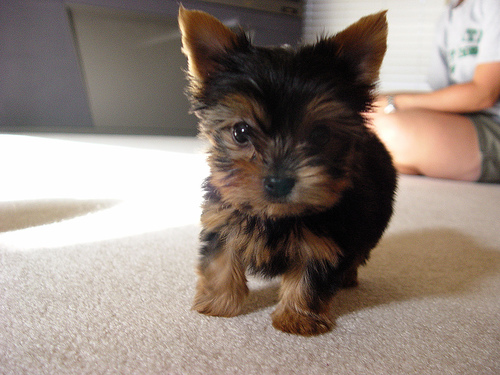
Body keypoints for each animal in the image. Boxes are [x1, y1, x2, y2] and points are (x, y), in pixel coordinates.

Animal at [178, 5, 396, 336]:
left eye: (320, 135)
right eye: (241, 132)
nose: (278, 182)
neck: (276, 216)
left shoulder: (326, 239)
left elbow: (310, 276)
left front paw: (298, 318)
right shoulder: (223, 217)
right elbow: (220, 260)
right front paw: (218, 304)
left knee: (359, 250)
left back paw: (348, 276)